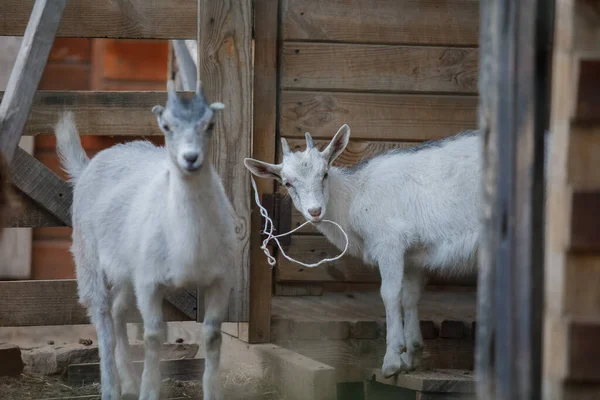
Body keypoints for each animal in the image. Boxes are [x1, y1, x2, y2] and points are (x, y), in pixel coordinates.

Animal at [54, 82, 234, 400]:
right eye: (167, 126)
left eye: (210, 125)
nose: (191, 158)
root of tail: (92, 163)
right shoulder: (149, 281)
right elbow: (153, 335)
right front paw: (149, 391)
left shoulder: (220, 279)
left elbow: (213, 336)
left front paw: (213, 393)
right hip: (88, 255)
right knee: (101, 314)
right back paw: (111, 387)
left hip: (127, 269)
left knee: (117, 310)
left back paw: (128, 381)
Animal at [244, 126, 482, 378]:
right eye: (287, 183)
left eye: (325, 174)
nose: (315, 211)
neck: (355, 194)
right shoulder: (413, 255)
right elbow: (410, 297)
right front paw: (411, 356)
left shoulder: (390, 241)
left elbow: (390, 294)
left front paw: (392, 360)